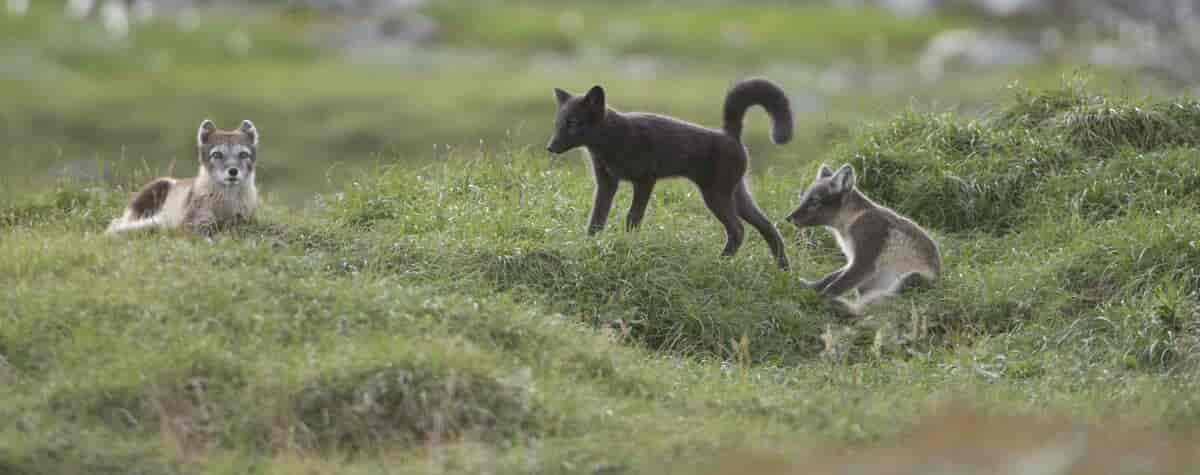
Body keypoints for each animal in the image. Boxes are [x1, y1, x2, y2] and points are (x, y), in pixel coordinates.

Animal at [105, 118, 260, 237]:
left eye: (243, 154)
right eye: (217, 154)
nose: (233, 171)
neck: (227, 201)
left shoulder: (243, 223)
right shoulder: (193, 223)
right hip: (153, 191)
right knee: (117, 222)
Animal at [547, 79, 792, 268]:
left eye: (573, 123)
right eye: (558, 123)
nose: (550, 147)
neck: (610, 140)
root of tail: (730, 134)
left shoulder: (645, 180)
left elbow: (632, 217)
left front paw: (629, 244)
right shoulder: (606, 183)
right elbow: (597, 218)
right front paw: (590, 244)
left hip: (715, 195)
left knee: (739, 230)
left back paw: (719, 262)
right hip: (737, 195)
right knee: (768, 227)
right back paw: (783, 270)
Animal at [787, 163, 945, 314]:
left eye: (814, 201)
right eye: (803, 198)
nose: (788, 218)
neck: (851, 220)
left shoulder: (864, 263)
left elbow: (833, 288)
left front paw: (816, 299)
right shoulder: (851, 260)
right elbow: (828, 278)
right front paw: (808, 287)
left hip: (911, 279)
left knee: (865, 308)